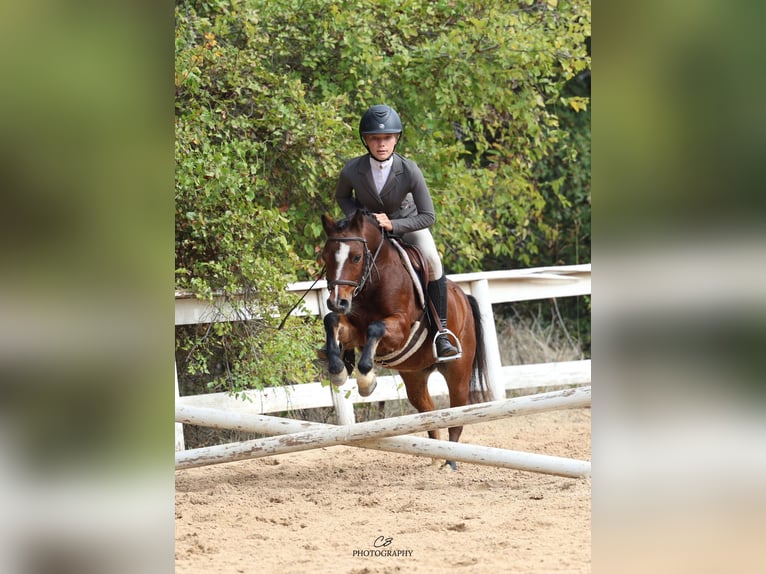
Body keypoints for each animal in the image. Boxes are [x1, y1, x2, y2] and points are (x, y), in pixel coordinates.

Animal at [319, 209, 490, 470]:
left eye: (356, 257)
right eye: (325, 257)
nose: (337, 302)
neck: (373, 280)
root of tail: (463, 296)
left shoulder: (399, 329)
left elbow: (376, 328)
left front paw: (366, 380)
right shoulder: (354, 329)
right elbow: (331, 321)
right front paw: (338, 369)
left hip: (458, 372)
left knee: (456, 416)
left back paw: (450, 463)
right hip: (415, 375)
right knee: (429, 412)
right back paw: (435, 457)